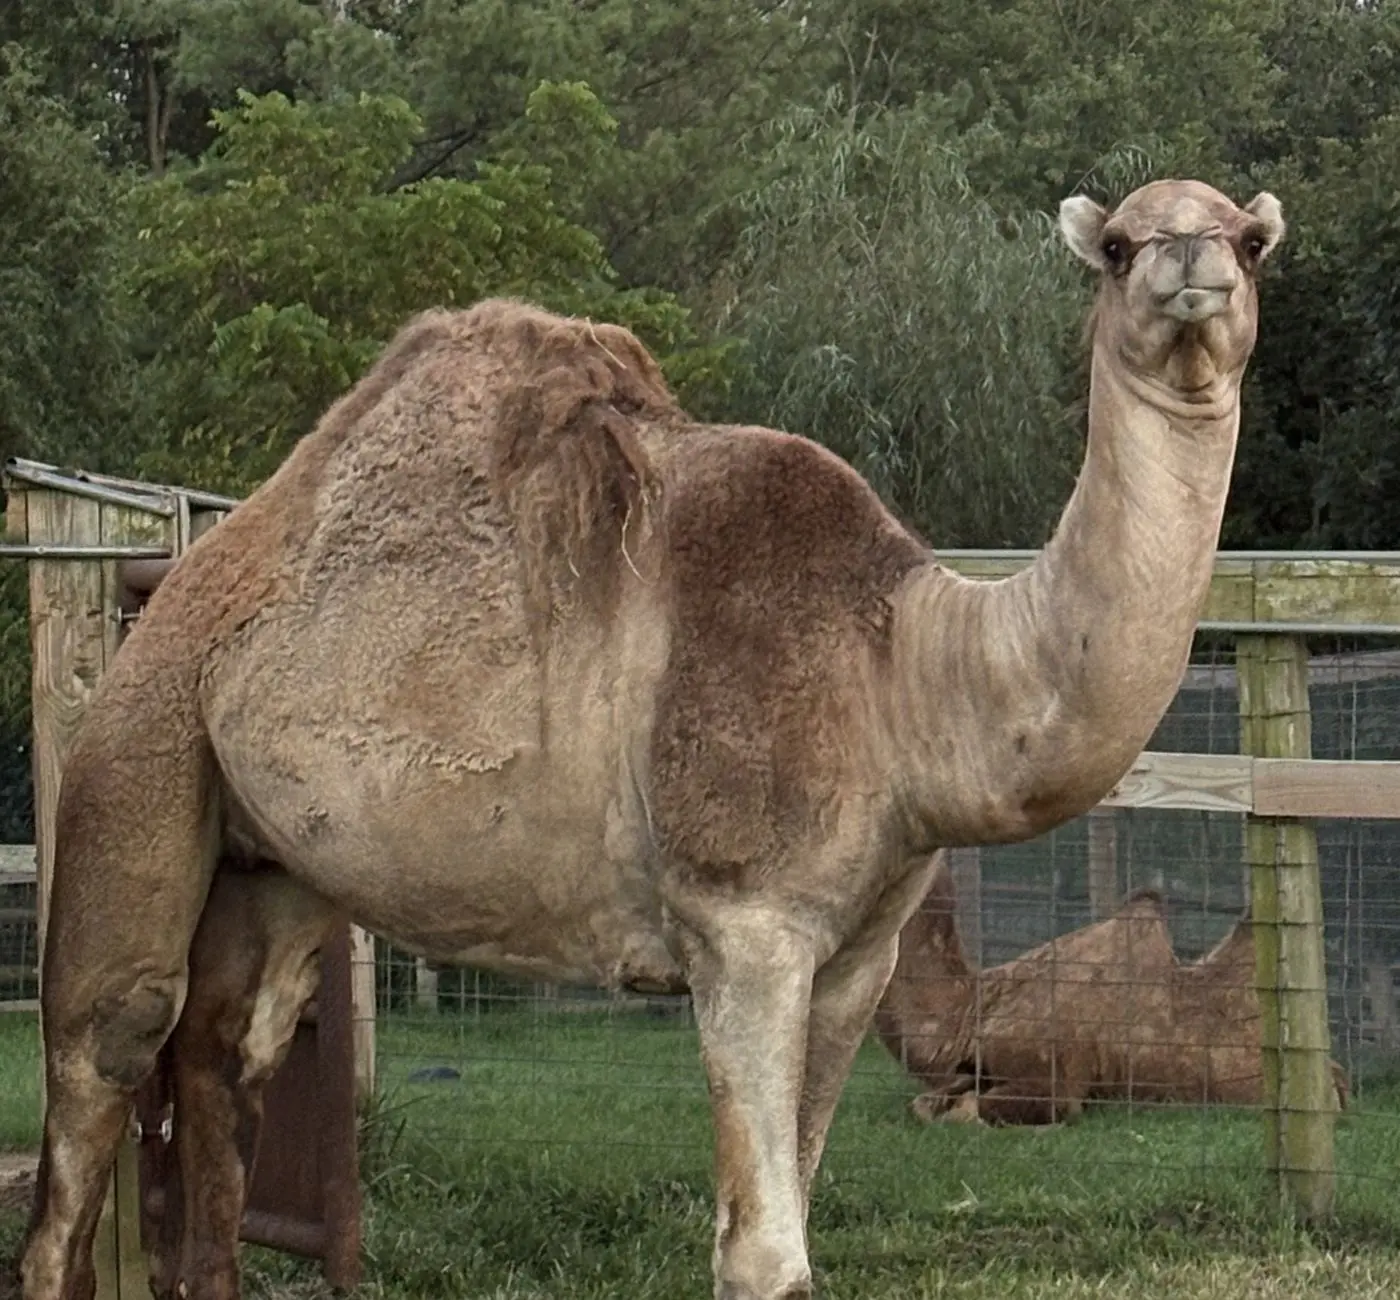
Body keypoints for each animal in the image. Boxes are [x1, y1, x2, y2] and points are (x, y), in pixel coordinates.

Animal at [19, 178, 1283, 1300]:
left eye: (1246, 238)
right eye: (1115, 246)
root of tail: (176, 595)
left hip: (271, 862)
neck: (902, 666)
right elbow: (765, 1255)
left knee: (229, 1053)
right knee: (105, 1055)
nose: (1190, 267)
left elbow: (798, 1202)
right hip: (138, 751)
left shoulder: (857, 957)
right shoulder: (742, 924)